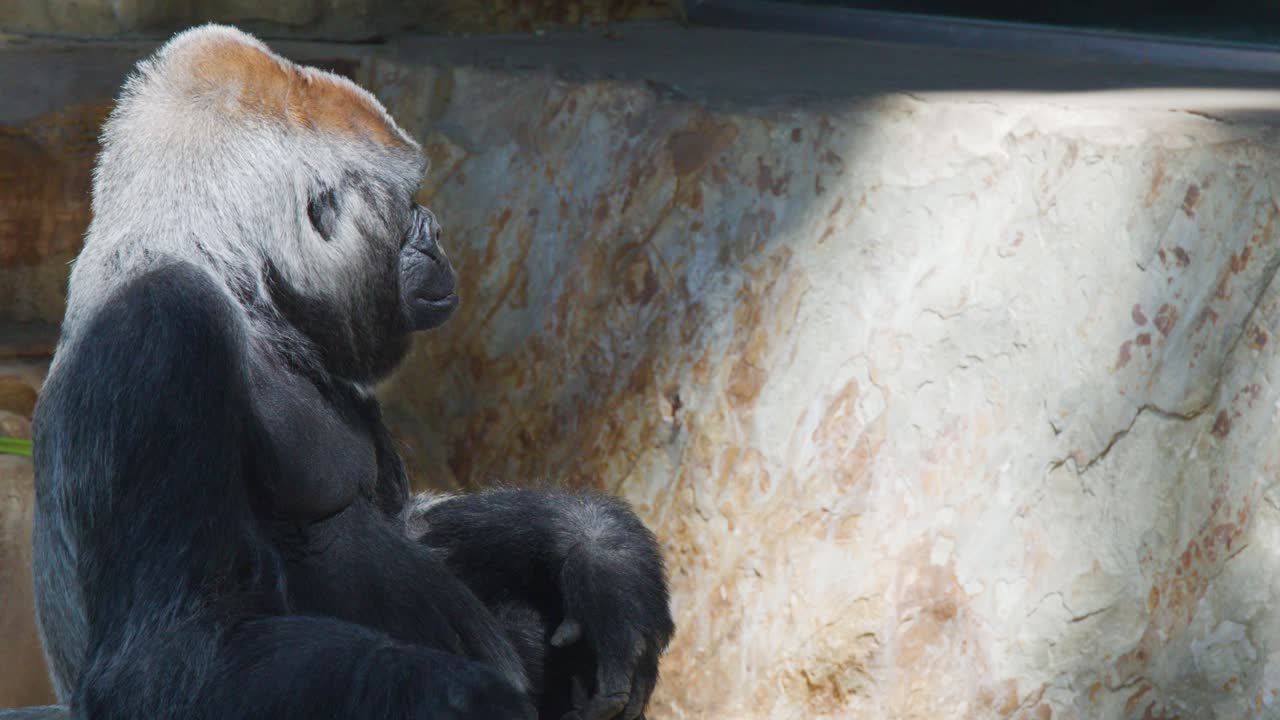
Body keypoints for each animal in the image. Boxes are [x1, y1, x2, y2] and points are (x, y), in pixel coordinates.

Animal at [30, 24, 672, 720]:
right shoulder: (161, 327)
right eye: (407, 202)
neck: (237, 281)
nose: (438, 230)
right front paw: (464, 698)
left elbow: (410, 521)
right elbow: (166, 656)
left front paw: (598, 552)